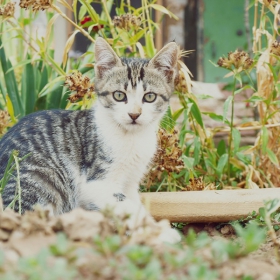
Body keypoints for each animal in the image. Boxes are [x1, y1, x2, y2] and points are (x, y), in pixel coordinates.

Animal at [0, 36, 179, 243]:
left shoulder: (130, 182)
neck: (131, 137)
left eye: (149, 97)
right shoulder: (96, 182)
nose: (134, 114)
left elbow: (136, 204)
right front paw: (160, 232)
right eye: (119, 95)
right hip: (41, 179)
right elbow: (128, 206)